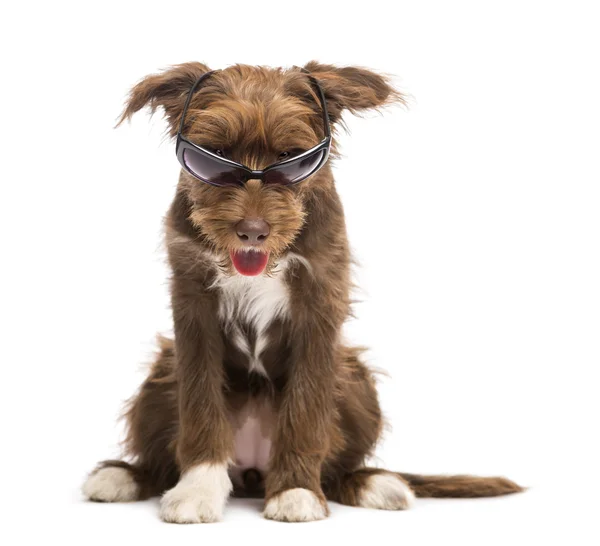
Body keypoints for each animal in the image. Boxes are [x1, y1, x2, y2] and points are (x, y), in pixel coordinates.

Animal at [82, 61, 524, 520]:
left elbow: (307, 405)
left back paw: (374, 483)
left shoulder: (319, 305)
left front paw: (295, 489)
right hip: (162, 372)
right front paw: (198, 490)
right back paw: (121, 476)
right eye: (215, 155)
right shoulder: (192, 306)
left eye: (288, 158)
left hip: (354, 376)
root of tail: (252, 471)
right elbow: (201, 401)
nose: (252, 231)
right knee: (160, 457)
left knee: (339, 465)